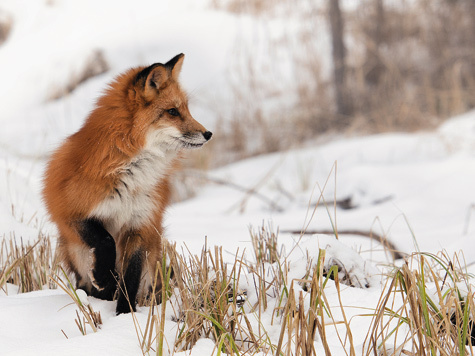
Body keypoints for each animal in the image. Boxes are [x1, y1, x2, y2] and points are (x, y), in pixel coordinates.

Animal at [43, 54, 212, 312]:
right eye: (172, 111)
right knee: (85, 282)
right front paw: (104, 277)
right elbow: (106, 240)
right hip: (76, 251)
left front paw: (125, 314)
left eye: (186, 109)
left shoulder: (140, 225)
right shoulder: (70, 212)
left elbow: (130, 278)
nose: (208, 134)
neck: (131, 173)